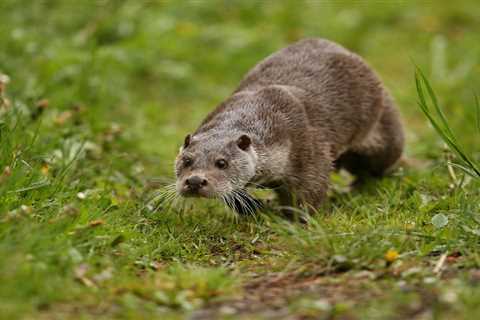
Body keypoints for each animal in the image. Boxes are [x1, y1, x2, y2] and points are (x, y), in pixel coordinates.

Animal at [174, 38, 404, 218]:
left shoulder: (307, 148)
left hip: (384, 135)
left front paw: (294, 221)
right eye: (187, 161)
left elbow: (310, 191)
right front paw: (256, 209)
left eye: (222, 163)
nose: (195, 181)